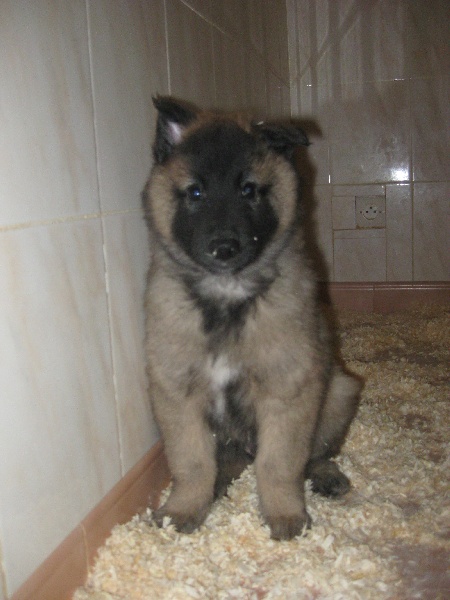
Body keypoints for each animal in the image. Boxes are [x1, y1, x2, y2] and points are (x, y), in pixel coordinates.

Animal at [142, 96, 361, 540]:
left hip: (339, 392)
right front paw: (183, 508)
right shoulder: (177, 391)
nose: (224, 247)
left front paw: (285, 514)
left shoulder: (287, 389)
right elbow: (192, 462)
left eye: (248, 190)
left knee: (315, 454)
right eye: (195, 192)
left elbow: (279, 464)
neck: (227, 293)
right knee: (225, 461)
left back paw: (327, 476)